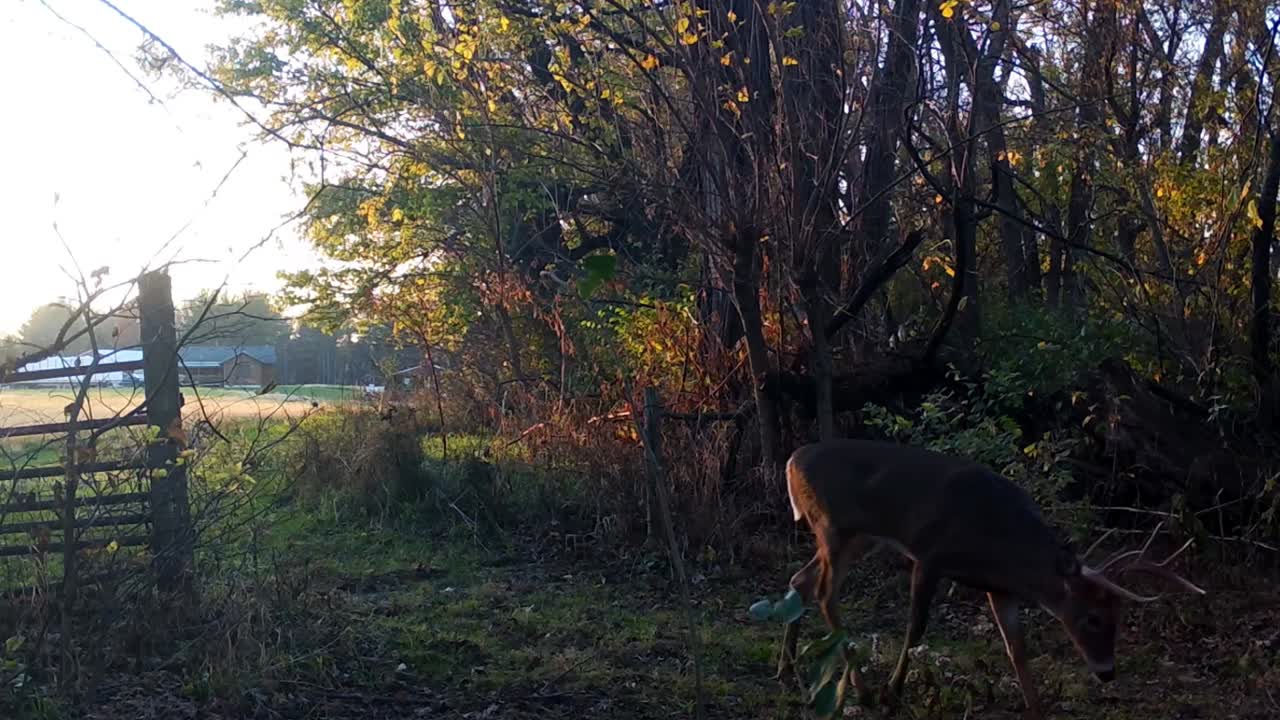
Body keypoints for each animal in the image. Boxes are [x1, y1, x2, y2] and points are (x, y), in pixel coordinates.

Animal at [777, 439, 1206, 719]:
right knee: (825, 593)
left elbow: (1017, 647)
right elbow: (916, 629)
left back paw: (786, 668)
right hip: (834, 527)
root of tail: (790, 461)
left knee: (800, 580)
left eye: (1119, 617)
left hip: (857, 538)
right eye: (1093, 617)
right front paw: (892, 695)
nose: (1107, 672)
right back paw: (862, 691)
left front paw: (1037, 710)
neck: (999, 540)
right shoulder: (930, 555)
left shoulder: (999, 588)